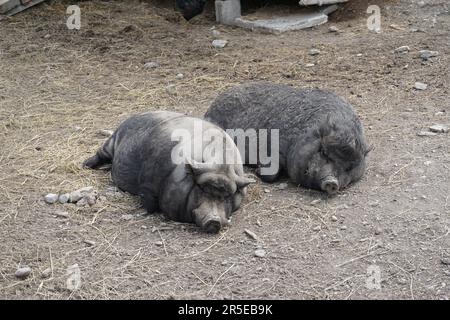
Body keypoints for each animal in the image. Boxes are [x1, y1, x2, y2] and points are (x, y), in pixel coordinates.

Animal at [84, 112, 253, 232]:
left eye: (227, 196)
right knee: (101, 153)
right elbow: (149, 202)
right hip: (111, 142)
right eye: (201, 189)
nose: (215, 221)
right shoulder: (147, 182)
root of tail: (131, 117)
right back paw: (85, 164)